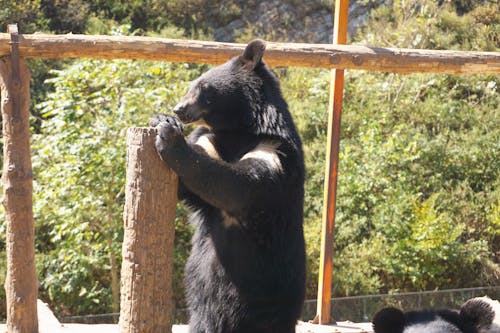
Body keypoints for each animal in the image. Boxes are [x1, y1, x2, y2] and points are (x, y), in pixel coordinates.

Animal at [149, 39, 304, 332]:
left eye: (203, 87)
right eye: (193, 84)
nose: (178, 109)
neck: (239, 130)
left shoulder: (275, 152)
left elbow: (239, 185)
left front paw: (169, 135)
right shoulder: (210, 140)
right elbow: (192, 182)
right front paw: (160, 119)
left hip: (275, 293)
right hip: (202, 306)